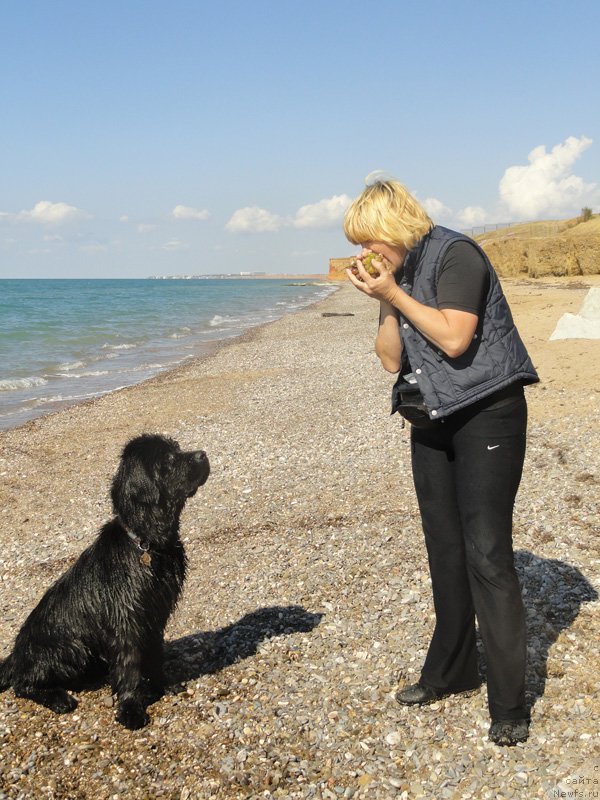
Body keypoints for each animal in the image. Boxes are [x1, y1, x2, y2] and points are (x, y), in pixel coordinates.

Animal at [0, 434, 210, 728]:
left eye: (178, 449)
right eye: (168, 458)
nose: (203, 454)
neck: (146, 543)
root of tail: (14, 657)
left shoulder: (154, 616)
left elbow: (155, 656)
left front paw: (163, 686)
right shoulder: (127, 621)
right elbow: (130, 667)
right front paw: (131, 709)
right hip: (71, 648)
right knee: (23, 683)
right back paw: (59, 699)